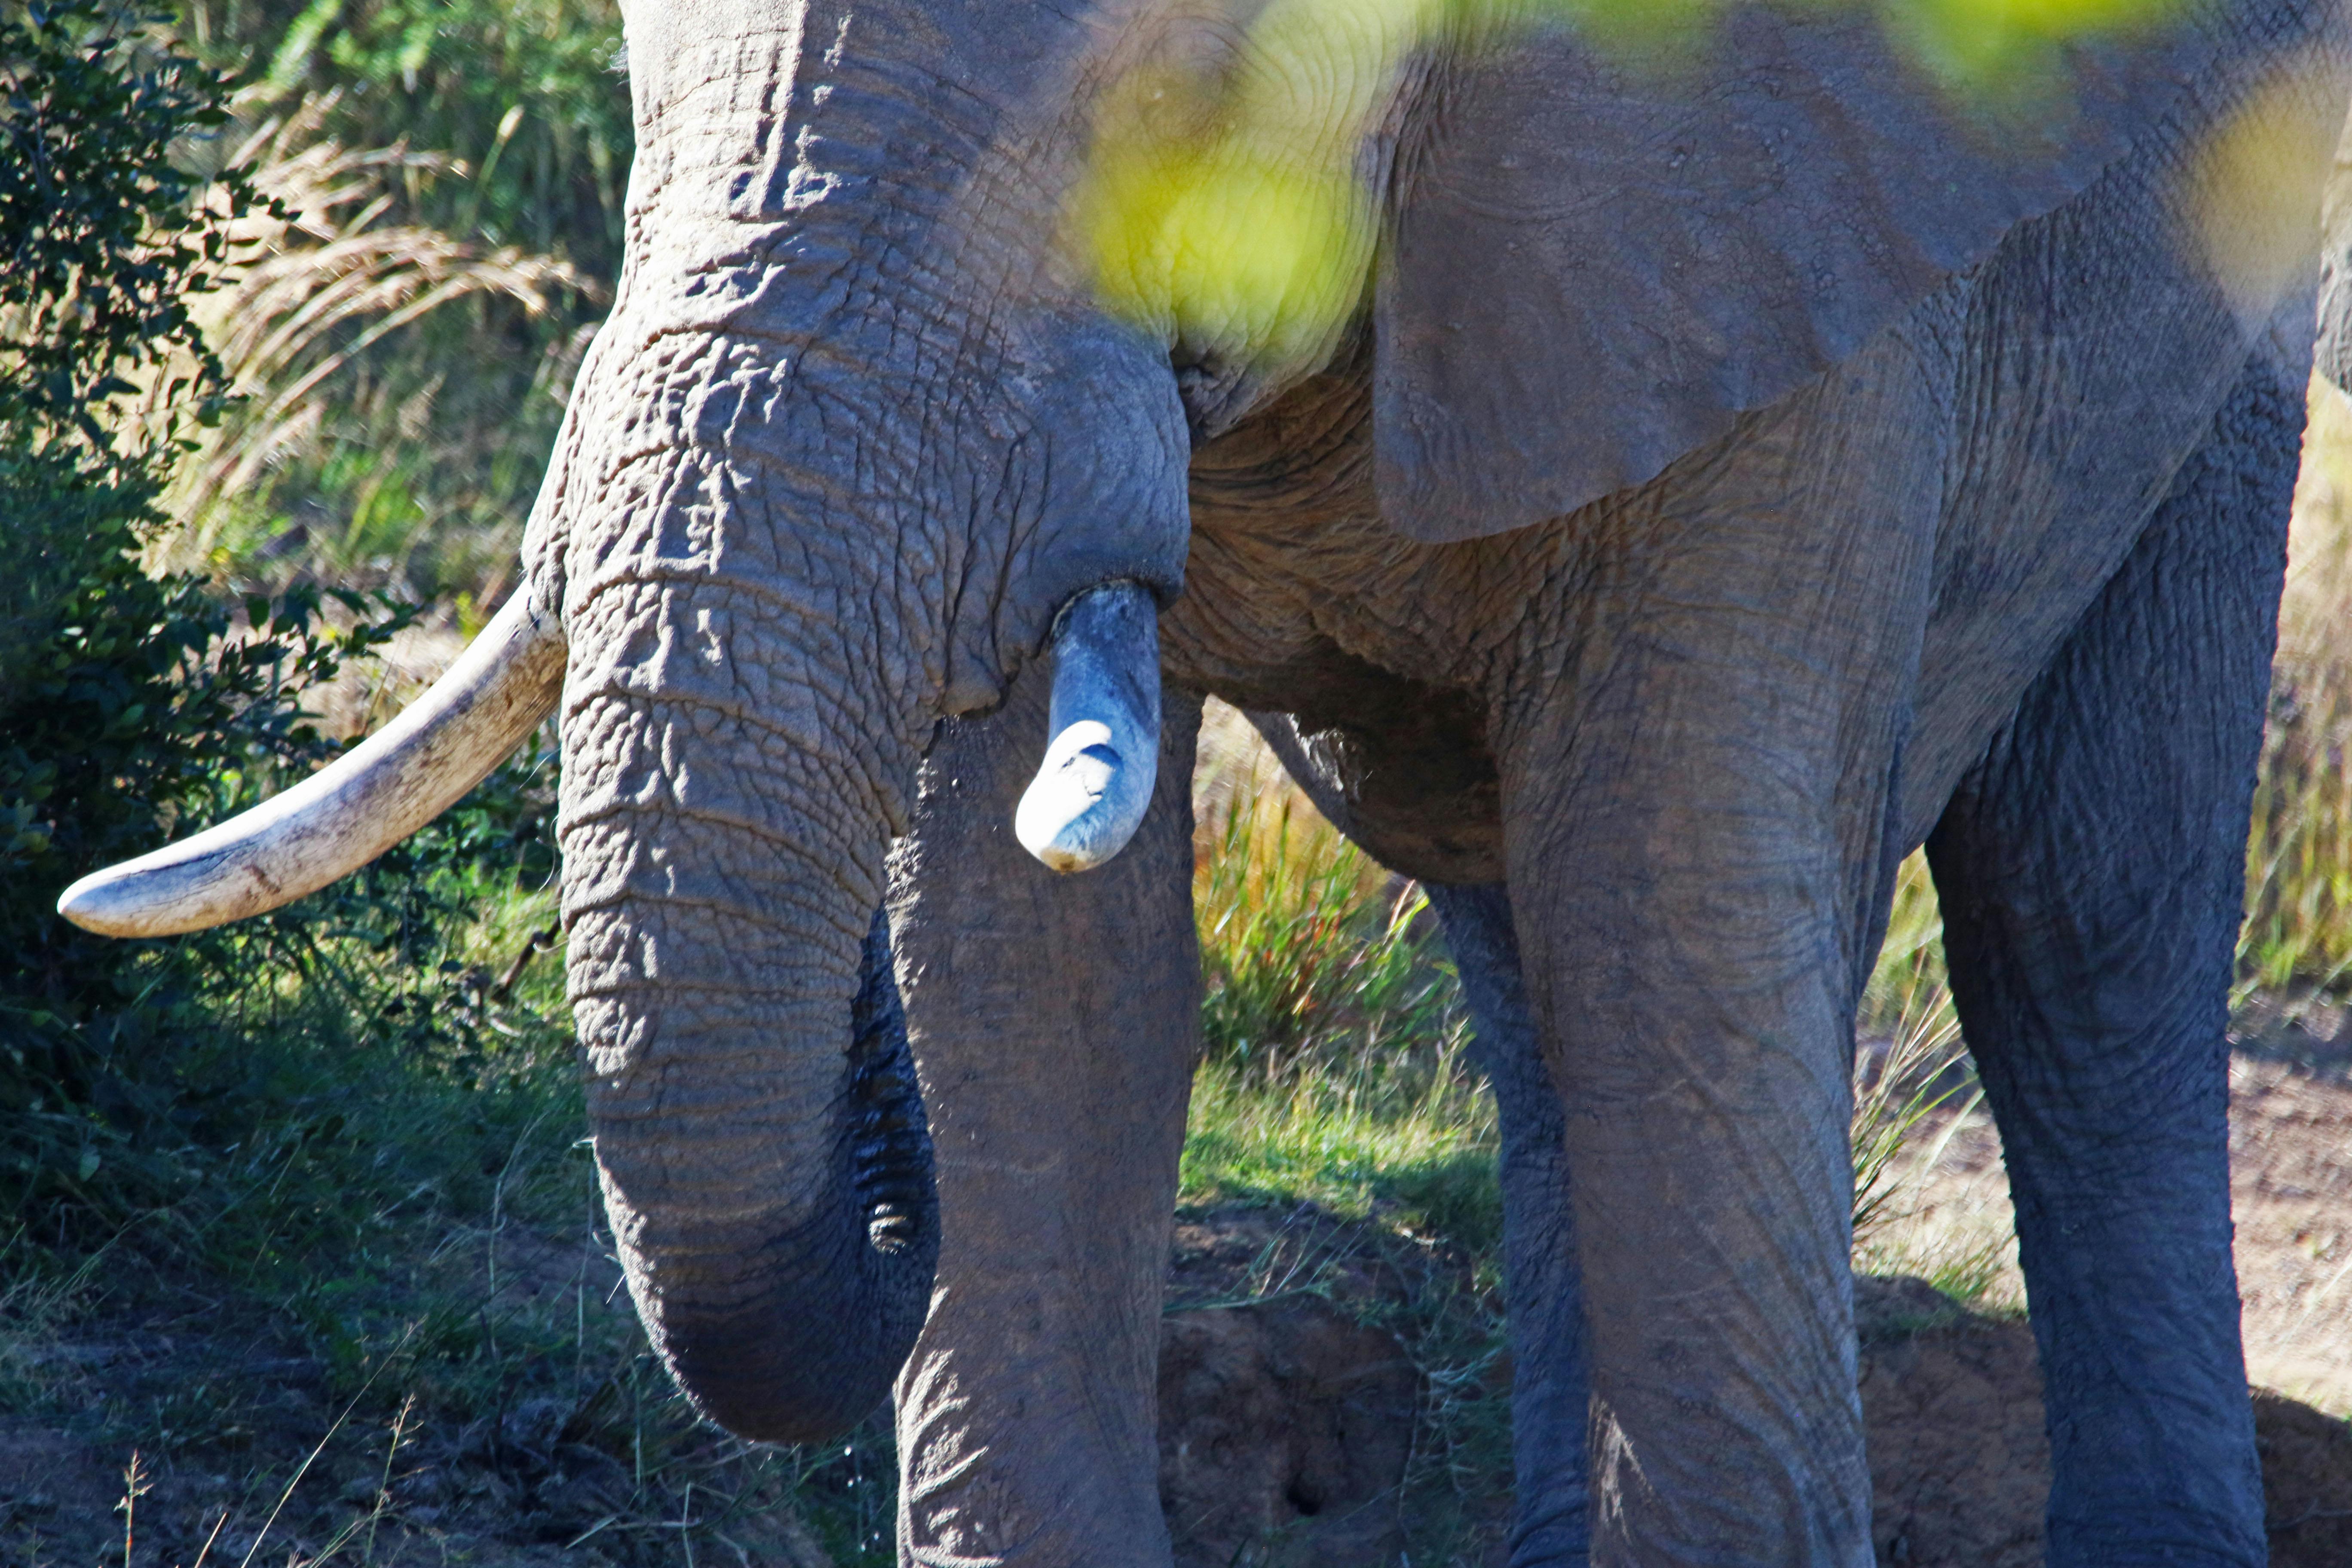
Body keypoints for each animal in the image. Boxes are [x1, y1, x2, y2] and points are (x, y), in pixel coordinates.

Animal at [55, 0, 2352, 1561]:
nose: (868, 1176)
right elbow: (1043, 1004)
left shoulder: (1761, 219)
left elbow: (1681, 934)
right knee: (1527, 957)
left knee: (2072, 929)